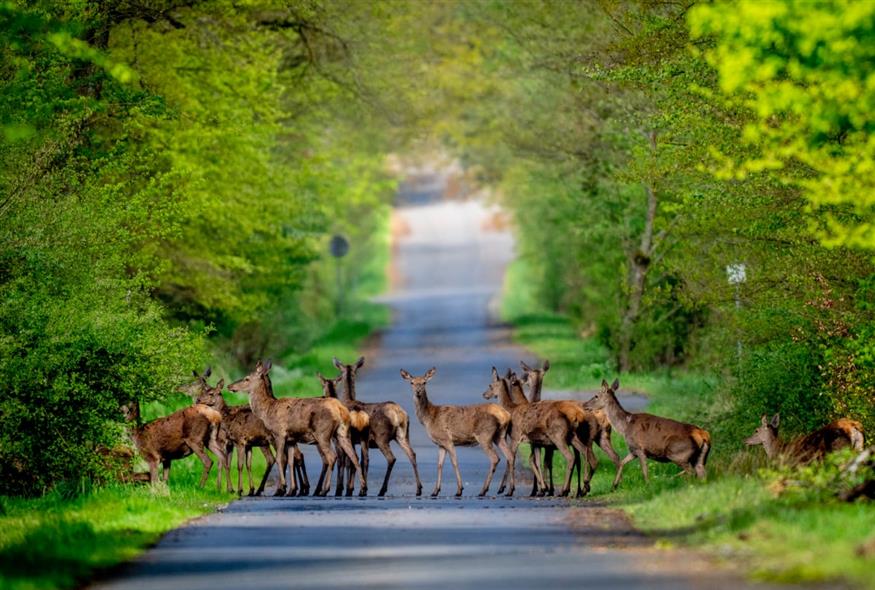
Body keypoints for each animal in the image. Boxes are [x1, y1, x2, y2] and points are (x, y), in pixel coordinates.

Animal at [228, 360, 364, 500]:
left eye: (247, 378)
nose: (229, 386)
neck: (267, 411)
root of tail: (340, 409)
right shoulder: (291, 439)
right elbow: (291, 461)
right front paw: (291, 490)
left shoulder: (279, 434)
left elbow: (280, 459)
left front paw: (283, 487)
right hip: (342, 433)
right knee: (354, 457)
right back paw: (362, 489)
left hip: (322, 433)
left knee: (332, 457)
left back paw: (324, 490)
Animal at [332, 358, 424, 498]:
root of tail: (397, 413)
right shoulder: (360, 441)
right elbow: (361, 460)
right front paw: (359, 489)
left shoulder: (342, 439)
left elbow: (347, 462)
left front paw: (345, 489)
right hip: (403, 434)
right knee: (412, 454)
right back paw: (418, 489)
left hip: (381, 436)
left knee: (391, 458)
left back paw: (381, 490)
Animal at [402, 368, 516, 498]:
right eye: (412, 382)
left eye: (424, 382)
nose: (418, 392)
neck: (428, 418)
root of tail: (506, 415)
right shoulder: (441, 443)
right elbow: (439, 465)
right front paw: (435, 491)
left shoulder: (447, 439)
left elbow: (454, 462)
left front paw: (459, 490)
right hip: (499, 436)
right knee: (510, 456)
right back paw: (510, 490)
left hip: (484, 435)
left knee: (495, 458)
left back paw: (483, 490)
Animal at [482, 370, 592, 500]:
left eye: (490, 385)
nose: (484, 394)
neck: (512, 410)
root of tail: (577, 416)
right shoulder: (535, 442)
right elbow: (537, 462)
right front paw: (543, 488)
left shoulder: (515, 436)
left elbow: (512, 459)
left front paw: (506, 489)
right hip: (572, 437)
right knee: (584, 452)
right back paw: (583, 488)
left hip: (558, 437)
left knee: (571, 457)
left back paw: (565, 490)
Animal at [520, 364, 624, 498]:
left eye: (527, 375)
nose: (522, 380)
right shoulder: (547, 446)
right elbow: (547, 462)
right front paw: (548, 489)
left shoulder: (537, 443)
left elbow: (538, 462)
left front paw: (541, 490)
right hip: (601, 437)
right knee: (614, 457)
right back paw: (614, 485)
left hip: (584, 437)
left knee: (585, 458)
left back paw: (581, 488)